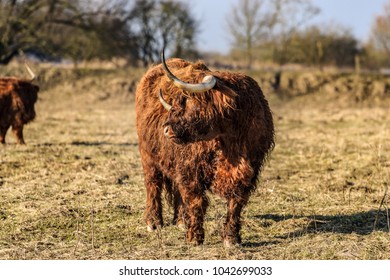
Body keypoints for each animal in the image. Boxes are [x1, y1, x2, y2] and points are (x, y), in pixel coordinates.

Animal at [136, 50, 276, 247]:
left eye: (188, 99)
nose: (166, 129)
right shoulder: (191, 169)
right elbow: (196, 201)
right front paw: (195, 237)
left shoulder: (249, 171)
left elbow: (236, 203)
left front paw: (231, 238)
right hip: (148, 156)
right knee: (153, 185)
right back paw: (154, 222)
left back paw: (181, 221)